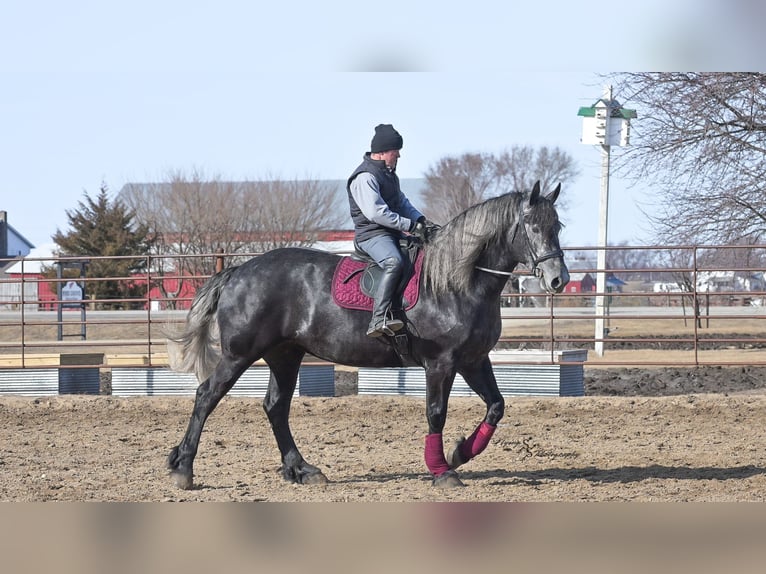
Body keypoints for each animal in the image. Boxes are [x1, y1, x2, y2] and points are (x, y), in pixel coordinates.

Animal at [166, 181, 569, 489]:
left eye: (558, 226)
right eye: (532, 226)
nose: (558, 280)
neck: (457, 282)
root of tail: (237, 271)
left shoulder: (473, 360)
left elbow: (496, 406)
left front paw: (460, 453)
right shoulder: (441, 363)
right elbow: (436, 413)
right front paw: (442, 470)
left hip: (285, 355)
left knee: (276, 407)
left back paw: (302, 470)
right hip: (240, 354)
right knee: (206, 396)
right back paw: (184, 468)